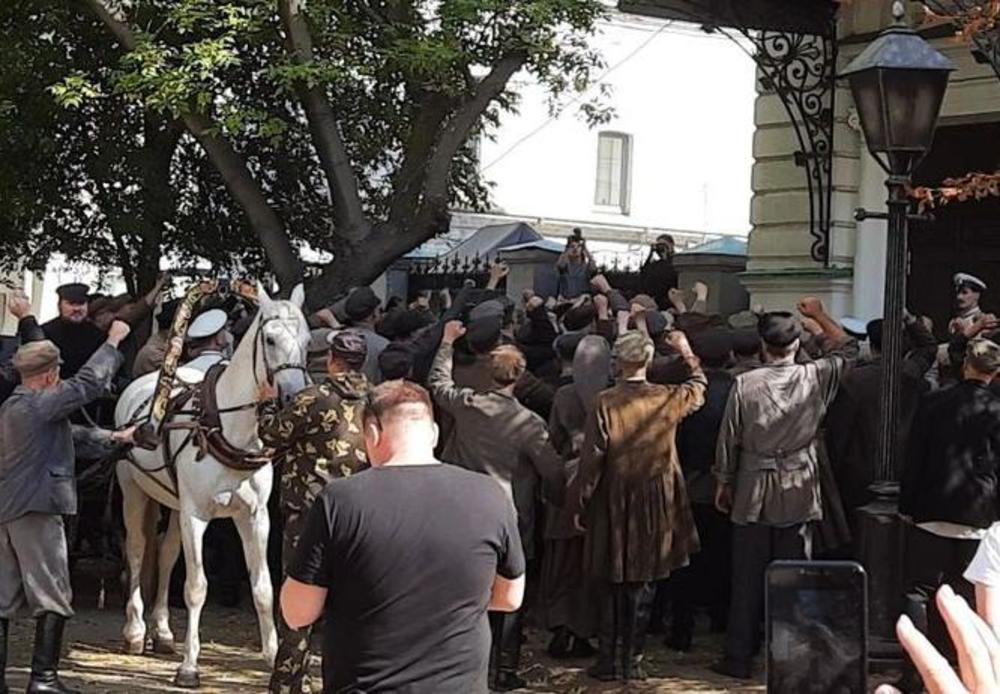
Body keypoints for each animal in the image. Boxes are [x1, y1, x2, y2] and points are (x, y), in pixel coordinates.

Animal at [113, 284, 310, 692]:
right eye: (269, 339)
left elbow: (264, 588)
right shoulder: (196, 515)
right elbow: (196, 588)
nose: (292, 396)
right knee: (137, 550)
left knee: (167, 553)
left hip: (173, 503)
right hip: (133, 490)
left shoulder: (255, 517)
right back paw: (136, 630)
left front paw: (271, 657)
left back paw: (162, 632)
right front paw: (190, 666)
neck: (230, 428)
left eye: (307, 340)